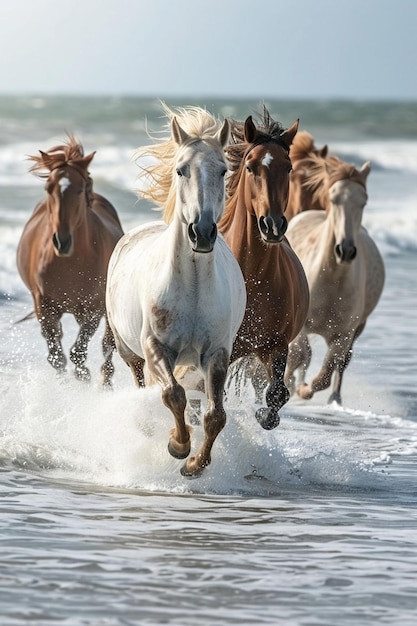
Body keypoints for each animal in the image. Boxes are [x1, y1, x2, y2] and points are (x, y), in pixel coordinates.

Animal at [105, 106, 245, 478]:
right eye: (181, 170)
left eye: (223, 170)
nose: (202, 232)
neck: (193, 290)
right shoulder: (157, 347)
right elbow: (173, 394)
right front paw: (178, 446)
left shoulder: (217, 353)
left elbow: (215, 415)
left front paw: (195, 464)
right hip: (130, 352)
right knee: (145, 385)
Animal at [218, 107, 308, 428]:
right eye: (251, 167)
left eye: (289, 167)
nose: (272, 225)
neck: (252, 277)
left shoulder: (276, 346)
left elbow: (277, 395)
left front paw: (261, 414)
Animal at [284, 154, 386, 402]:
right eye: (334, 198)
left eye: (363, 202)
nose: (345, 250)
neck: (333, 279)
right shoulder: (301, 324)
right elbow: (299, 355)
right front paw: (289, 385)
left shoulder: (344, 335)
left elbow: (324, 375)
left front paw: (303, 390)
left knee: (341, 364)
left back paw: (334, 398)